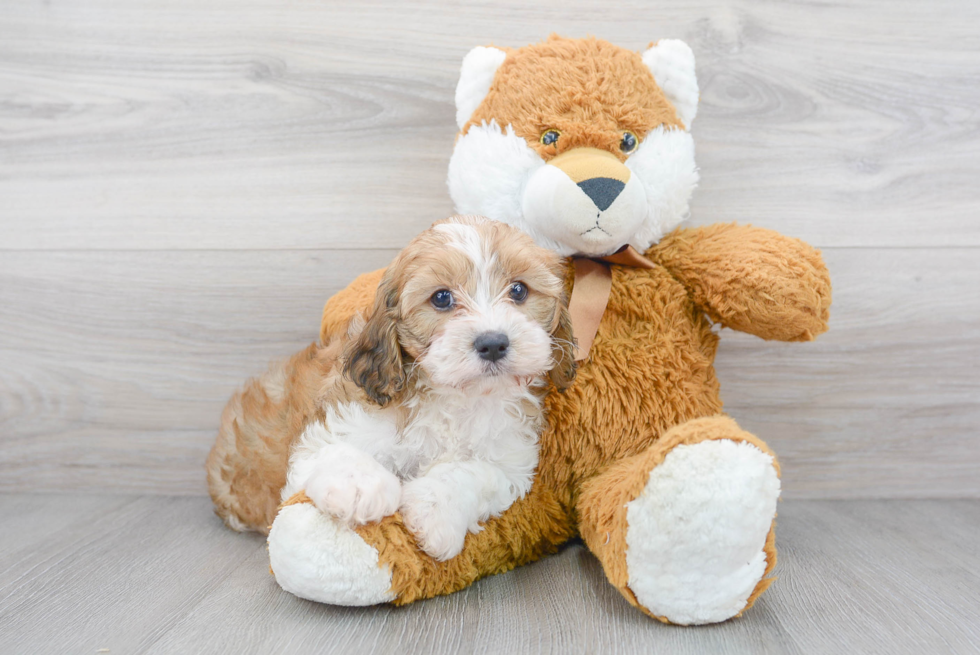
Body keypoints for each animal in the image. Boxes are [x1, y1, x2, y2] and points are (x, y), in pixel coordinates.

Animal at [207, 214, 576, 560]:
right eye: (442, 298)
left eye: (519, 290)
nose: (493, 343)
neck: (453, 396)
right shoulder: (336, 425)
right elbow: (334, 451)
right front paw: (361, 487)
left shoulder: (510, 460)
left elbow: (476, 473)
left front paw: (434, 511)